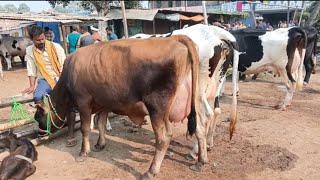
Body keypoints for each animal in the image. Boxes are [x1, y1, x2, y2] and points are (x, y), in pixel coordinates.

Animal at [35, 35, 205, 179]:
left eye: (38, 117)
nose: (40, 134)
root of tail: (175, 38)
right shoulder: (104, 103)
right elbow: (100, 123)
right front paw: (100, 144)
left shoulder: (83, 102)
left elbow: (85, 128)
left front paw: (83, 152)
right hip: (191, 105)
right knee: (199, 128)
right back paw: (200, 162)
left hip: (157, 107)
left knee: (163, 139)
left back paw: (151, 171)